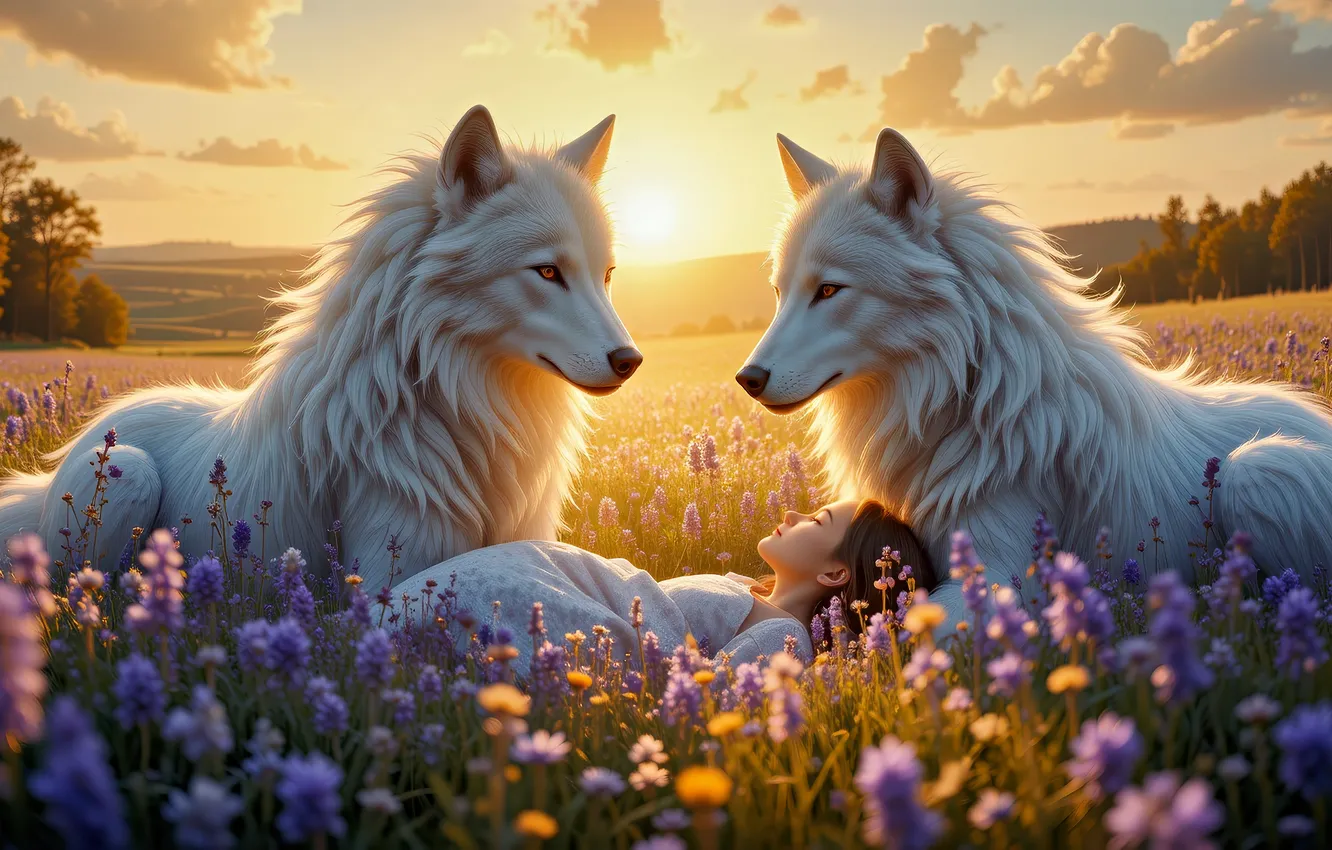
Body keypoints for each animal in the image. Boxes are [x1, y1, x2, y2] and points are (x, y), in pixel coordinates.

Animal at [0, 104, 642, 592]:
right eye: (547, 271)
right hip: (128, 474)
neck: (454, 399)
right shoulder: (390, 572)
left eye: (608, 275)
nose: (631, 362)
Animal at [737, 126, 1332, 629]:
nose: (747, 378)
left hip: (1260, 470)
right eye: (778, 292)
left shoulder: (999, 573)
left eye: (829, 290)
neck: (961, 397)